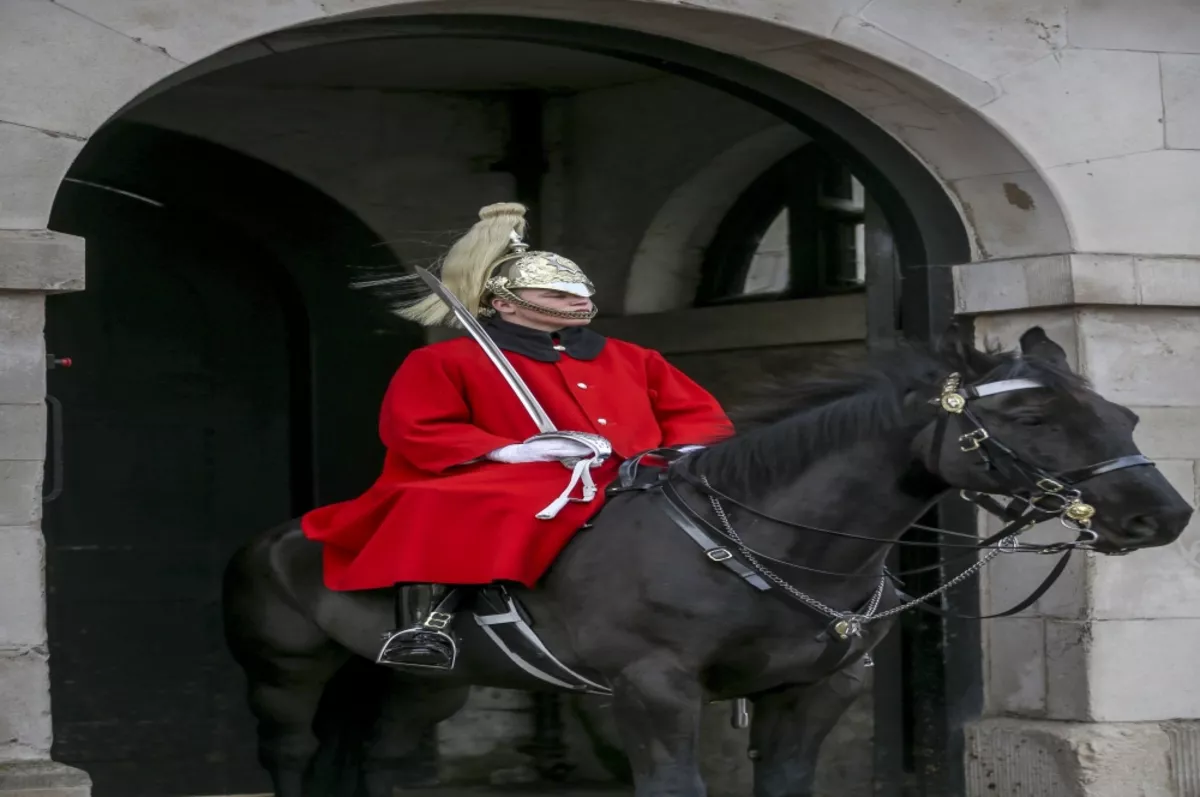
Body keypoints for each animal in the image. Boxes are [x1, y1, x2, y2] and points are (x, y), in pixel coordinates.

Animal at [223, 326, 1190, 797]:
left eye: (1123, 415)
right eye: (1030, 418)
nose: (1164, 515)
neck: (776, 548)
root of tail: (282, 532)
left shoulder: (813, 693)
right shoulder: (654, 691)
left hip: (429, 683)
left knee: (382, 760)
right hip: (283, 674)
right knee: (289, 755)